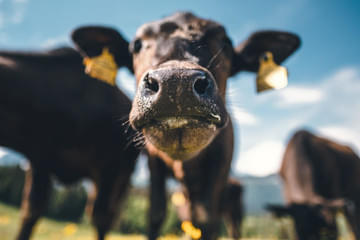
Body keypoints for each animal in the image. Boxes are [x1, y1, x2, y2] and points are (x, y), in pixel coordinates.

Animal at [71, 10, 300, 239]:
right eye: (137, 44)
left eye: (226, 42)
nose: (176, 82)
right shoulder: (154, 162)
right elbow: (156, 214)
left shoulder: (220, 162)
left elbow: (206, 219)